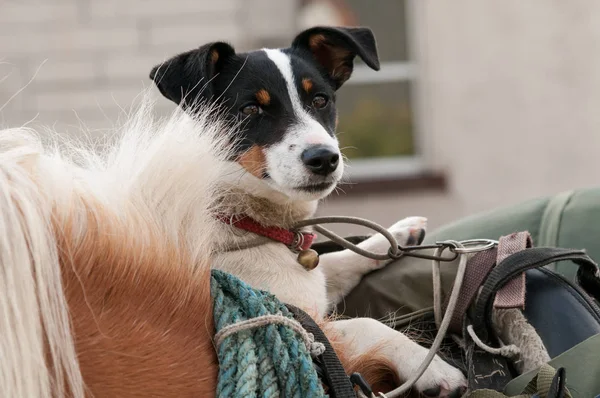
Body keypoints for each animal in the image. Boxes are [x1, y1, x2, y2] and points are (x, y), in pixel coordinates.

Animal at [150, 26, 468, 396]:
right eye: (250, 109)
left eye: (320, 100)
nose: (324, 159)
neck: (251, 222)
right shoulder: (301, 323)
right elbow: (366, 324)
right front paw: (431, 367)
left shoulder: (312, 287)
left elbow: (337, 262)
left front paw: (396, 235)